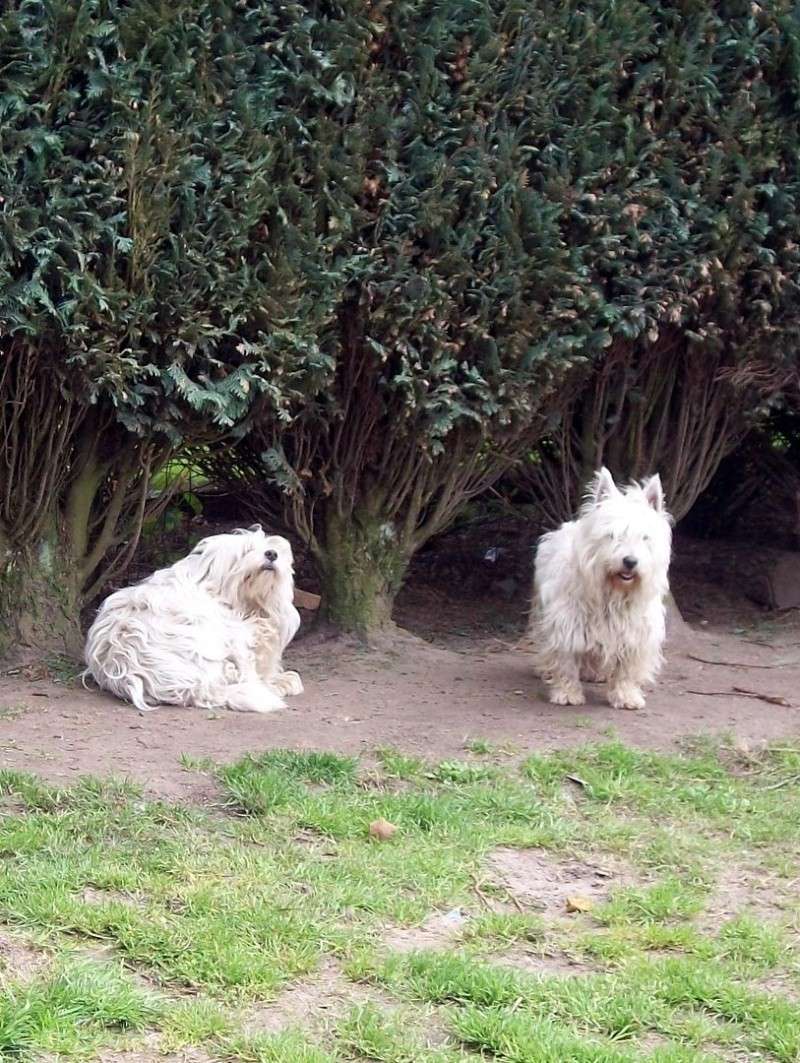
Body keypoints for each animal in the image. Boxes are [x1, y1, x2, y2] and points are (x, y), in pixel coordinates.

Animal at [526, 467, 671, 710]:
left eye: (644, 537)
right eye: (612, 535)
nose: (630, 561)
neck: (613, 592)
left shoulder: (635, 633)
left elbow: (626, 670)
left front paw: (626, 696)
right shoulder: (567, 624)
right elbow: (566, 661)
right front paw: (567, 693)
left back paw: (594, 673)